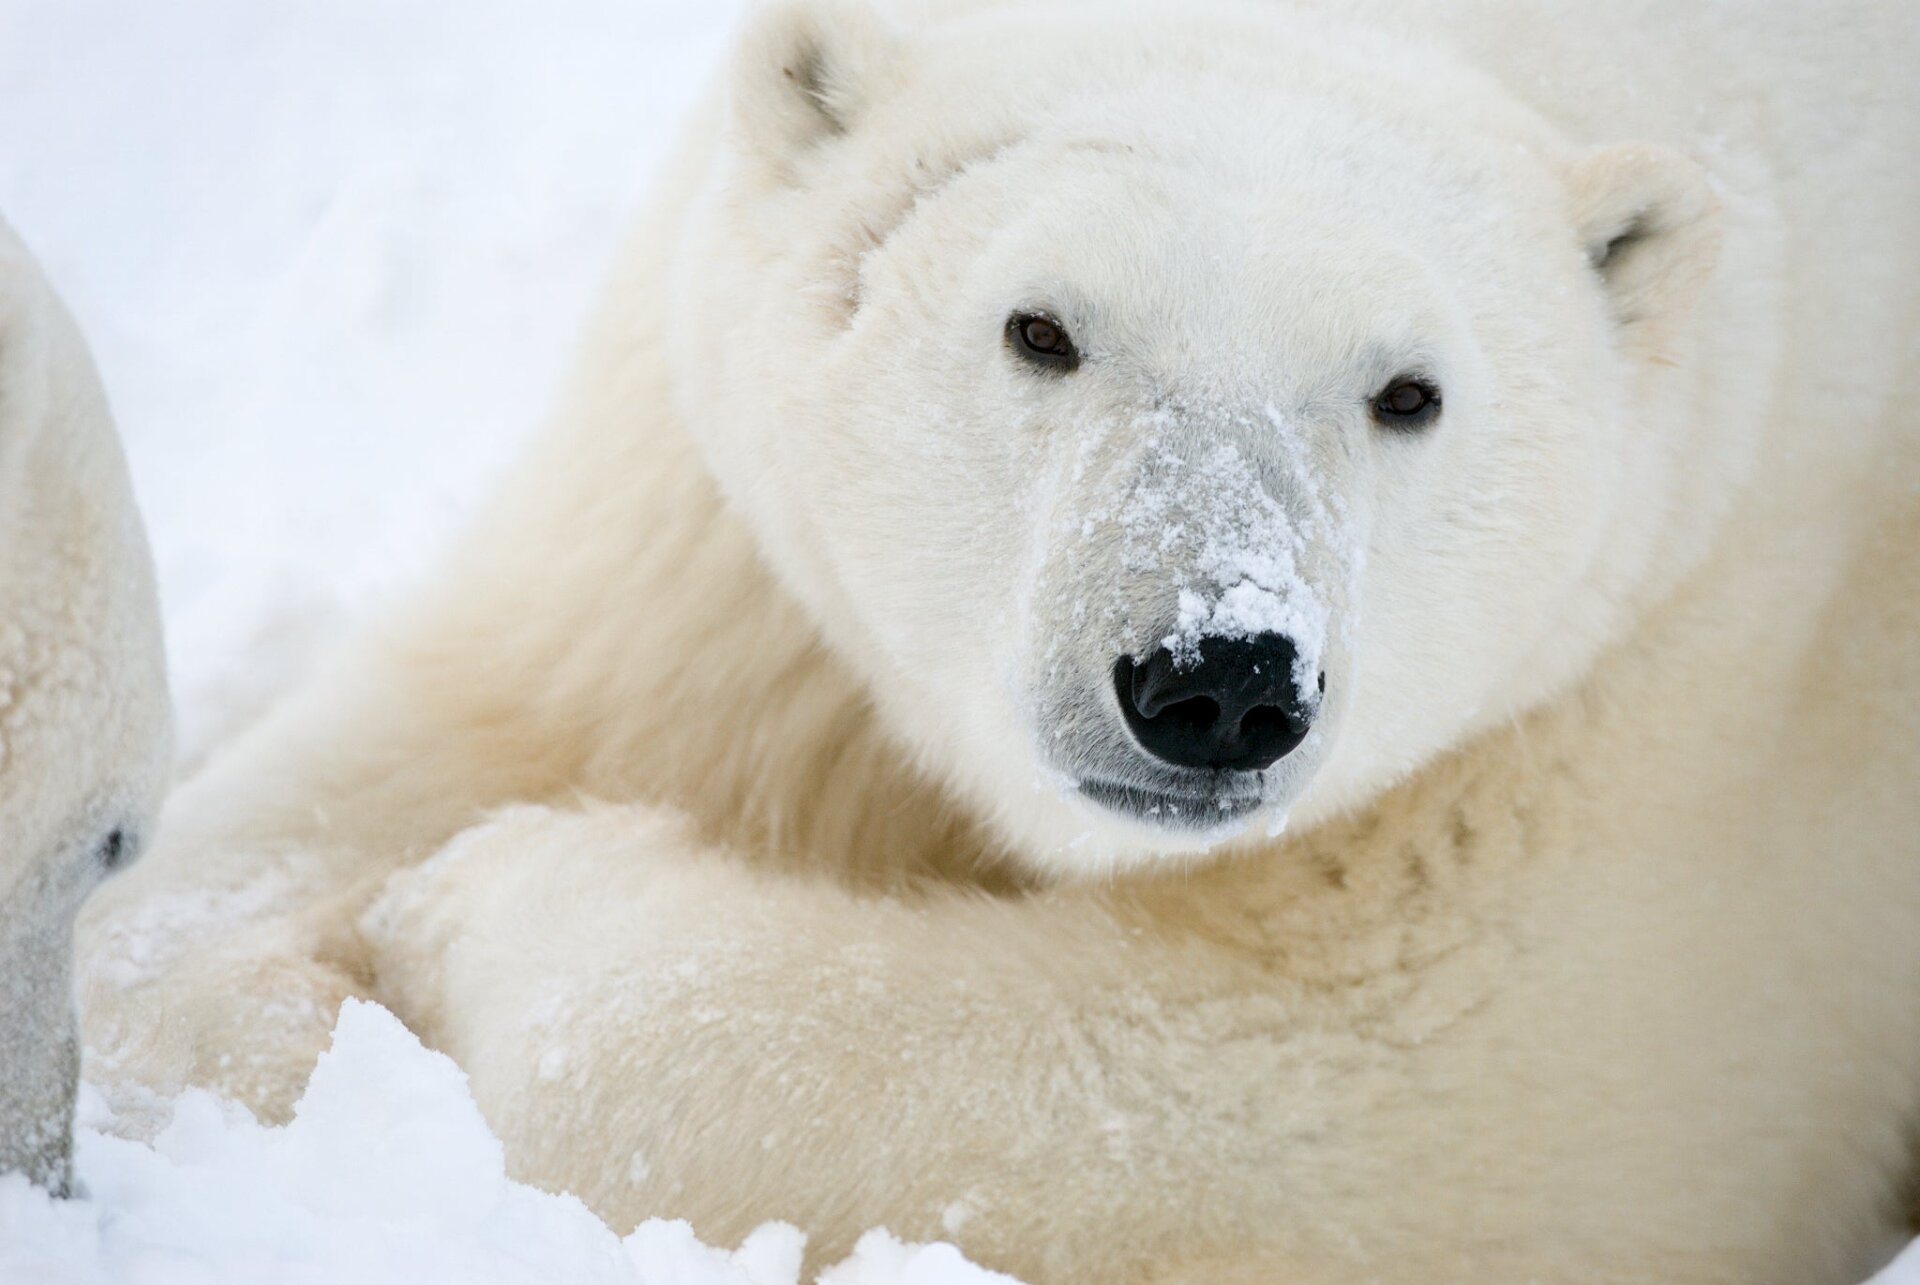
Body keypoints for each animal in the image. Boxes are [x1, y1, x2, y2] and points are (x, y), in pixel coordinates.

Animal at [79, 0, 1920, 1279]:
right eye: (1041, 327)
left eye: (1410, 392)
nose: (1216, 680)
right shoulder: (714, 533)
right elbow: (428, 744)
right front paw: (251, 1013)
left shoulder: (1692, 663)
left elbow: (1392, 1088)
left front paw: (473, 908)